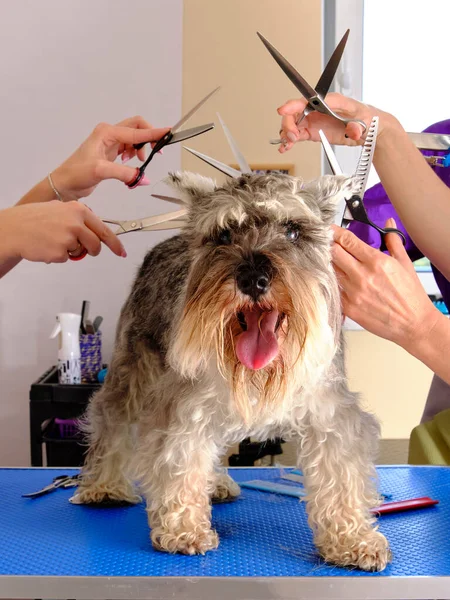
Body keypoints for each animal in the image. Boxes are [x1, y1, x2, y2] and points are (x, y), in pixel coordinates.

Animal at [73, 170, 390, 572]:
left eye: (292, 231)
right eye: (223, 235)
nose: (253, 279)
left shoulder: (330, 414)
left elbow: (340, 475)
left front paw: (351, 538)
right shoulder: (182, 408)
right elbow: (181, 459)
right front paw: (183, 529)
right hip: (132, 372)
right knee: (110, 419)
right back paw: (103, 486)